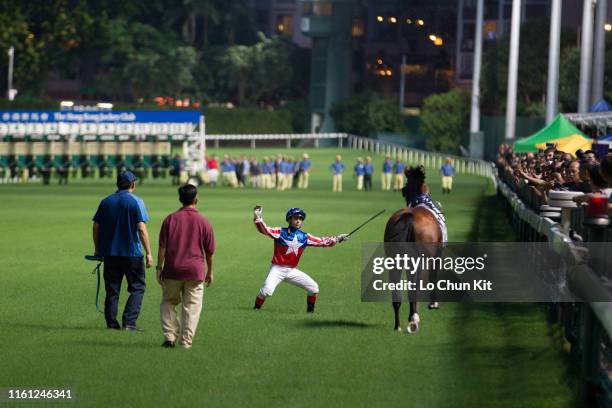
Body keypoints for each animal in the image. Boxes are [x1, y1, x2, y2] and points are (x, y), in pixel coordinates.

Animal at [384, 164, 442, 334]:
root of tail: (409, 217)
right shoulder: (436, 256)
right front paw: (433, 304)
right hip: (421, 261)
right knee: (416, 287)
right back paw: (414, 320)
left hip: (395, 261)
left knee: (397, 292)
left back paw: (398, 325)